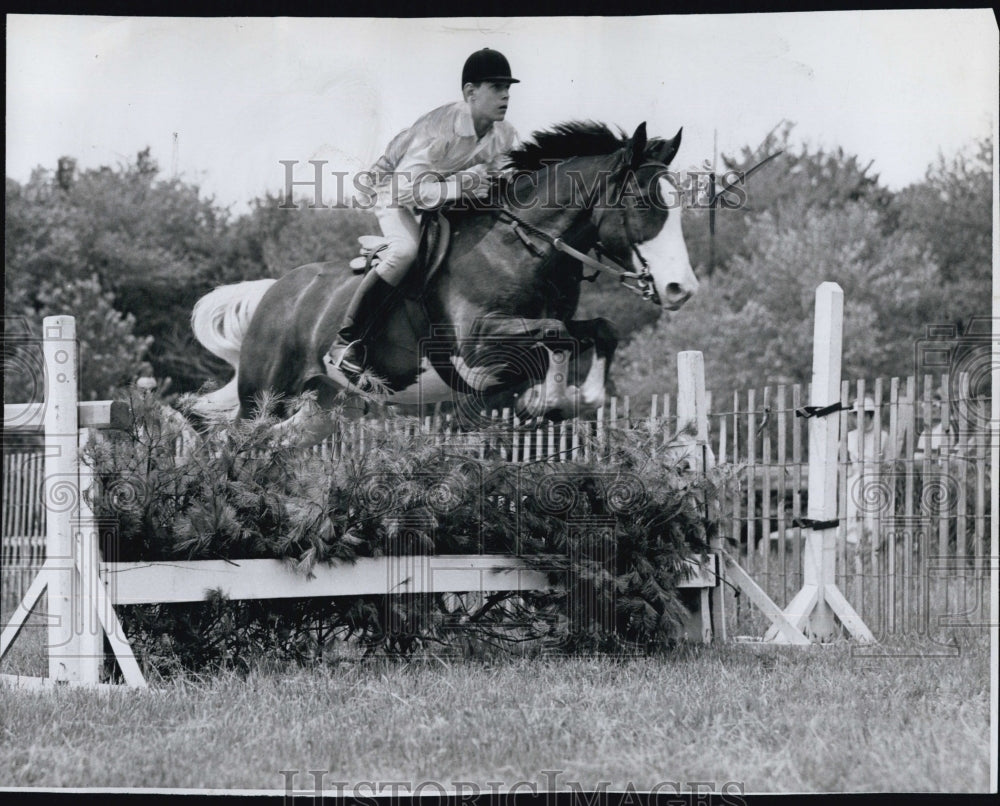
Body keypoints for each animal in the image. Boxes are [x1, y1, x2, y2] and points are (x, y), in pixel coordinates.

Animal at [191, 121, 700, 448]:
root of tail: (275, 292)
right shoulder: (477, 346)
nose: (682, 289)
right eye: (643, 201)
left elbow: (597, 331)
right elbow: (556, 335)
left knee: (276, 443)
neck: (522, 245)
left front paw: (575, 398)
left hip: (326, 406)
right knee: (237, 439)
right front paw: (550, 399)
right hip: (265, 395)